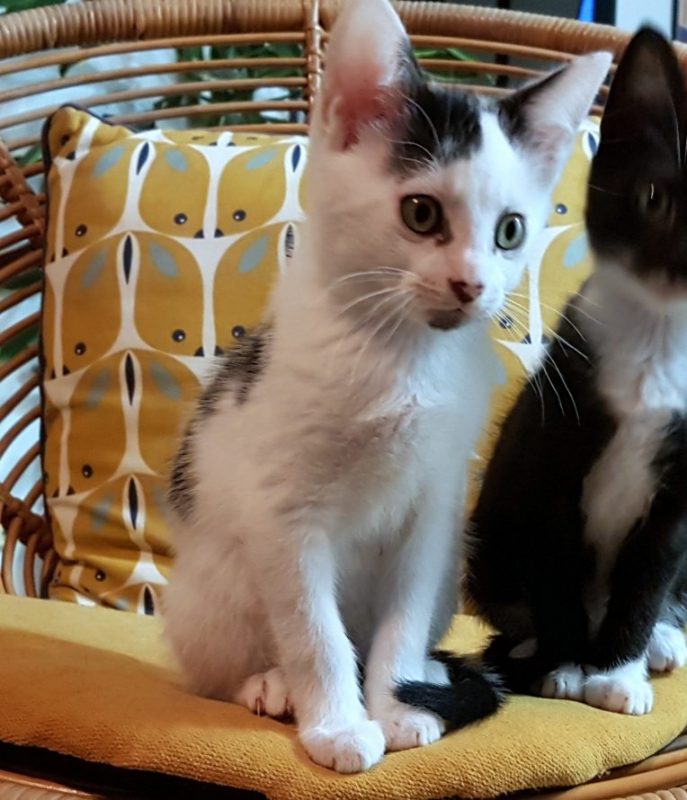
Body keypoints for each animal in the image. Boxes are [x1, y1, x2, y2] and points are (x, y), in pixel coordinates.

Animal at [163, 0, 610, 773]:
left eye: (510, 231)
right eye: (421, 213)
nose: (471, 285)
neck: (400, 357)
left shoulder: (434, 506)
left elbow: (400, 619)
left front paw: (398, 702)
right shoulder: (283, 508)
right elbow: (314, 629)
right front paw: (338, 726)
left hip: (449, 568)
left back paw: (425, 674)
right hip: (209, 588)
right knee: (219, 662)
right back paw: (267, 683)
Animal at [466, 26, 687, 716]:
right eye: (654, 197)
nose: (677, 263)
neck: (659, 339)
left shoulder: (677, 502)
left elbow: (649, 574)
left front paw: (617, 673)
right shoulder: (548, 460)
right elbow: (555, 564)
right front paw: (564, 667)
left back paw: (662, 640)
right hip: (489, 536)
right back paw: (535, 644)